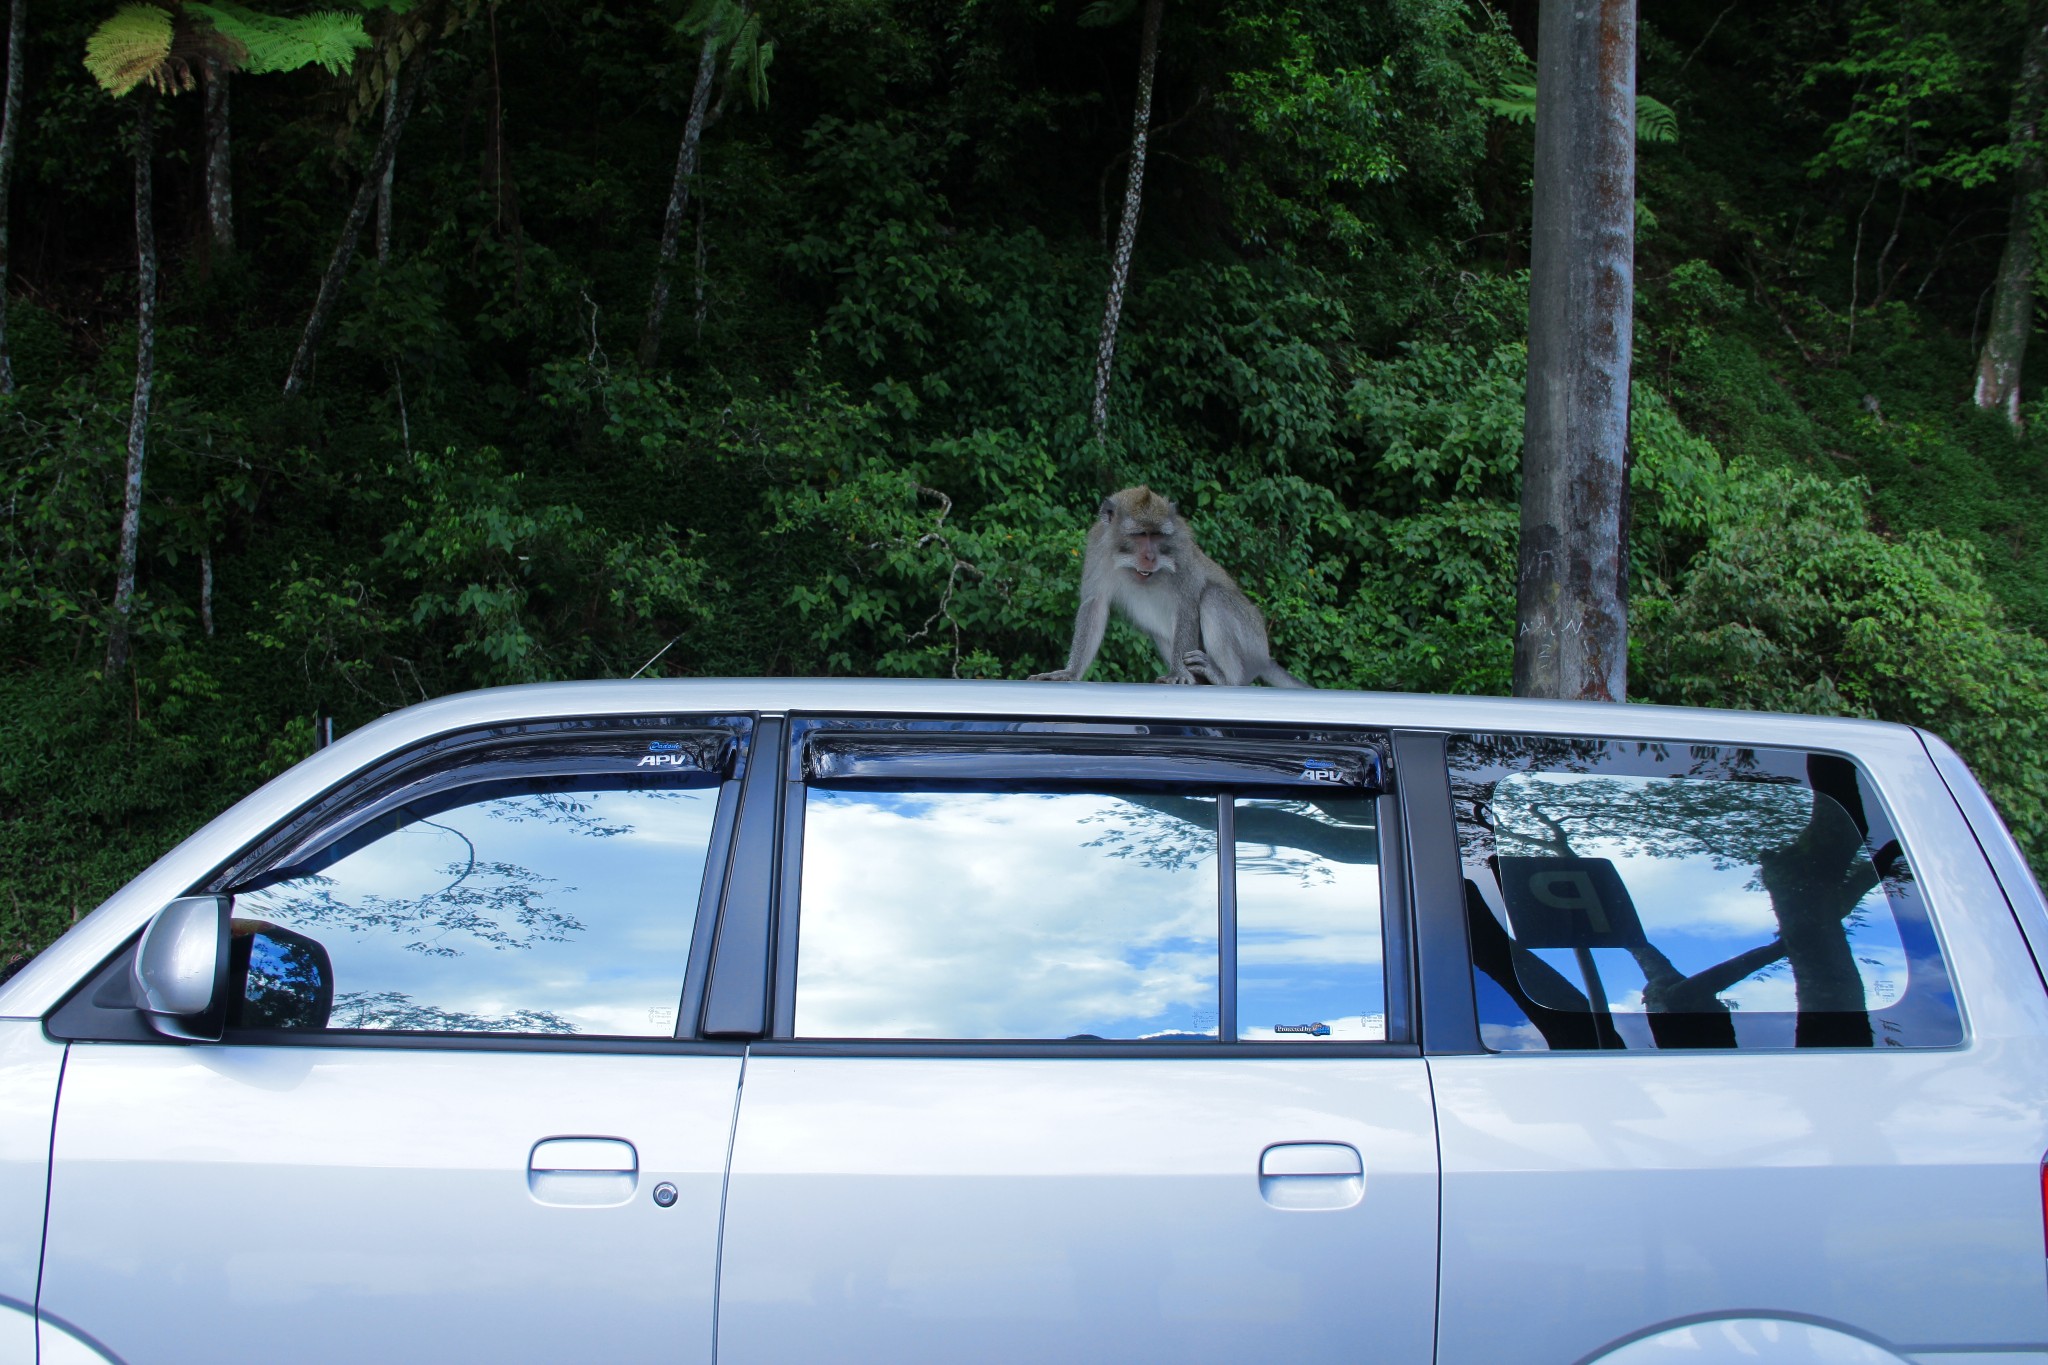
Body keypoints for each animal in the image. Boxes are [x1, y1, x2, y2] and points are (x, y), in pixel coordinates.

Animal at [1024, 485, 1310, 687]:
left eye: (1157, 535)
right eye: (1141, 535)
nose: (1150, 557)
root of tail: (1266, 657)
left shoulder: (1181, 549)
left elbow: (1188, 603)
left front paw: (1177, 673)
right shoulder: (1097, 549)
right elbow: (1094, 606)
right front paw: (1069, 672)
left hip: (1253, 640)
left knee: (1213, 596)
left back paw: (1227, 679)